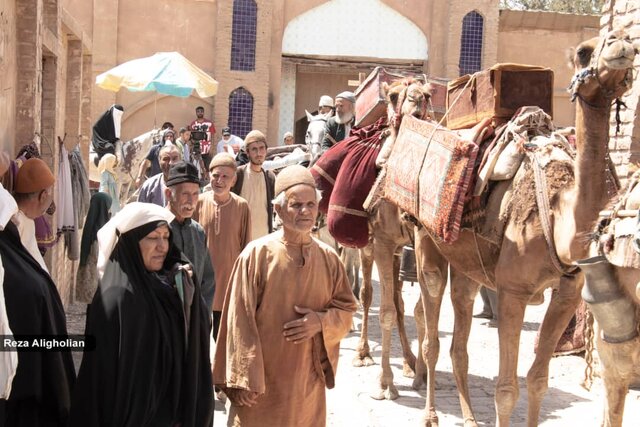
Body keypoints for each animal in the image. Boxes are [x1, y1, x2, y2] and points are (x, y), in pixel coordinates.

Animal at [396, 30, 640, 427]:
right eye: (584, 52)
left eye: (633, 46)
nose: (620, 44)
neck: (559, 216)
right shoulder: (513, 291)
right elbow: (507, 389)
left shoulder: (567, 293)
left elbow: (537, 379)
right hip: (426, 242)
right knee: (431, 331)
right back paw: (430, 414)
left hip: (467, 264)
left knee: (459, 332)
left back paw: (468, 416)